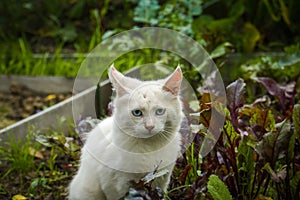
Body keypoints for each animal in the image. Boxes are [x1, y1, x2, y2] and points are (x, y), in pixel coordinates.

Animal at [69, 65, 184, 199]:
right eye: (137, 113)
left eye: (160, 111)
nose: (150, 126)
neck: (149, 148)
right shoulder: (113, 185)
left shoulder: (162, 178)